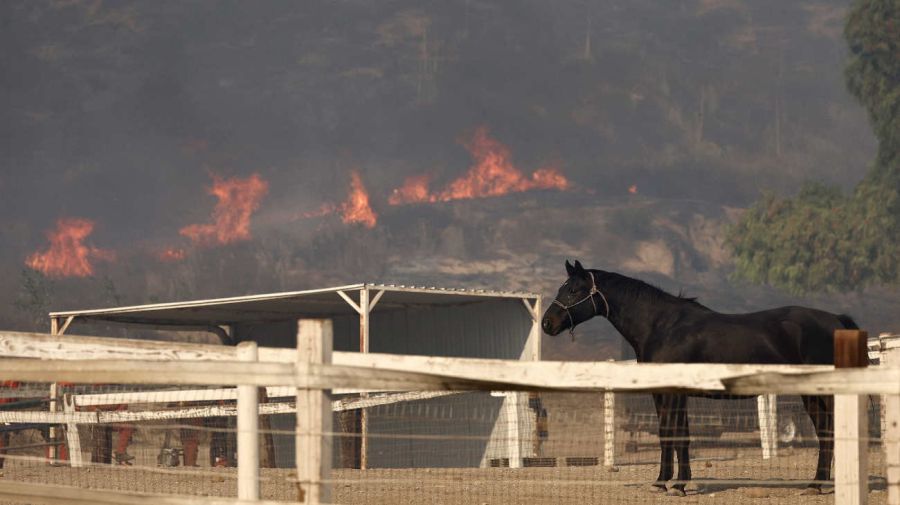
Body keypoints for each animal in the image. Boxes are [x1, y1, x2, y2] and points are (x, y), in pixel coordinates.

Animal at [540, 262, 856, 494]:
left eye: (574, 290)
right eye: (562, 288)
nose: (547, 323)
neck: (662, 326)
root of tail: (837, 320)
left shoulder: (671, 392)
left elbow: (672, 433)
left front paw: (670, 484)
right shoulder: (669, 393)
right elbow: (679, 434)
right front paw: (676, 482)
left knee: (828, 431)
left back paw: (820, 485)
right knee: (825, 431)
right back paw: (818, 484)